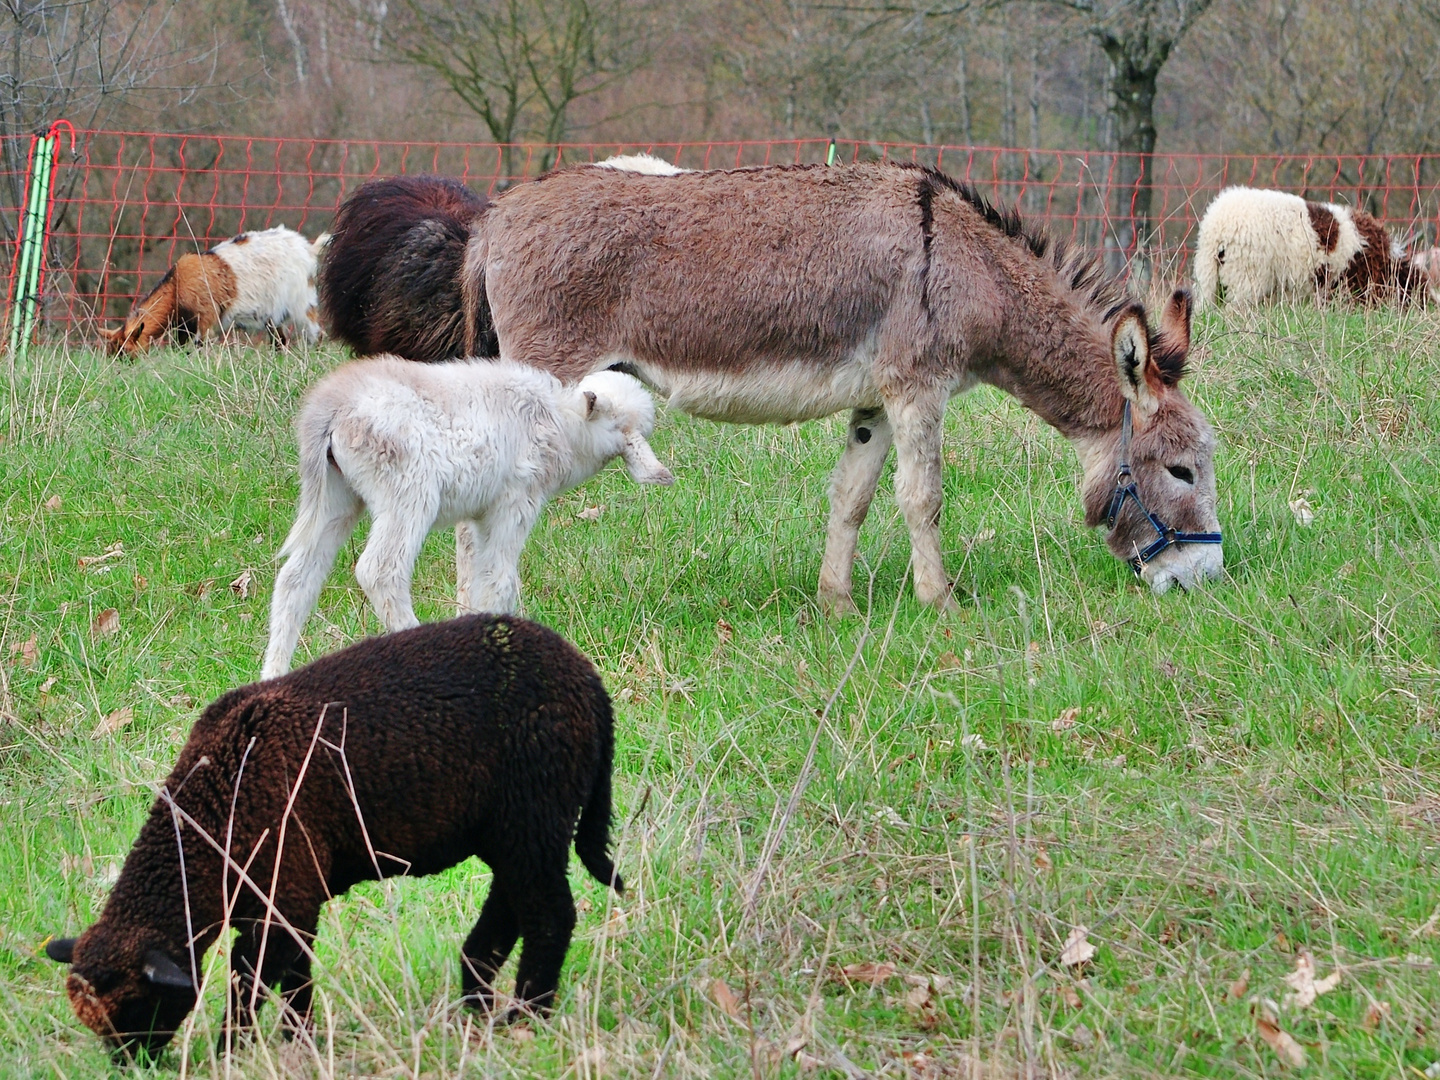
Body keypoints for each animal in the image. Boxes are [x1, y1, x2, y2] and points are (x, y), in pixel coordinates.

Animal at [43, 613, 619, 1059]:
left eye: (137, 1007)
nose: (132, 1067)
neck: (213, 821)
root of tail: (591, 684)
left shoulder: (287, 891)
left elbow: (249, 981)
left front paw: (232, 1051)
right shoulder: (285, 901)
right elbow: (295, 978)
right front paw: (299, 1042)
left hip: (535, 810)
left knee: (549, 916)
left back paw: (526, 1019)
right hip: (515, 827)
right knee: (511, 907)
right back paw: (474, 1007)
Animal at [100, 226, 325, 357]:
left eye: (125, 353)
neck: (176, 287)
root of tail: (308, 249)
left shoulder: (203, 319)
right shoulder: (185, 326)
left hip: (301, 301)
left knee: (316, 332)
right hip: (273, 313)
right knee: (280, 340)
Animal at [260, 357, 673, 676]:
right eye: (618, 425)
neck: (561, 425)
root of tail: (329, 407)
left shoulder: (479, 514)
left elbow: (474, 577)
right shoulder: (515, 502)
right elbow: (499, 580)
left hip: (336, 495)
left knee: (296, 579)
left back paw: (273, 674)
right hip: (407, 491)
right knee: (380, 570)